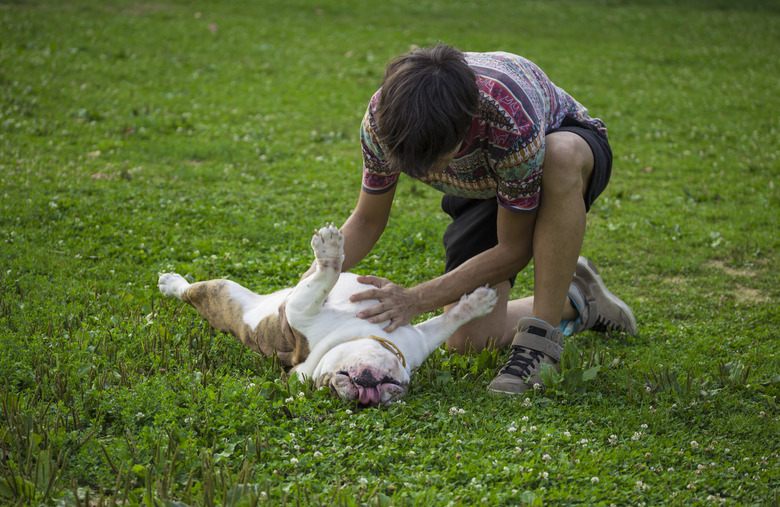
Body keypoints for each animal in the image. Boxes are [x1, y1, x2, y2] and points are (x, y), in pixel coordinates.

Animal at [158, 224, 496, 406]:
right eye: (329, 385)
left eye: (395, 390)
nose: (366, 397)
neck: (359, 334)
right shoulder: (301, 309)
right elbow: (326, 277)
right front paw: (331, 250)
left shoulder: (422, 339)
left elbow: (449, 321)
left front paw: (478, 302)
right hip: (225, 293)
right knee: (190, 291)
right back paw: (171, 282)